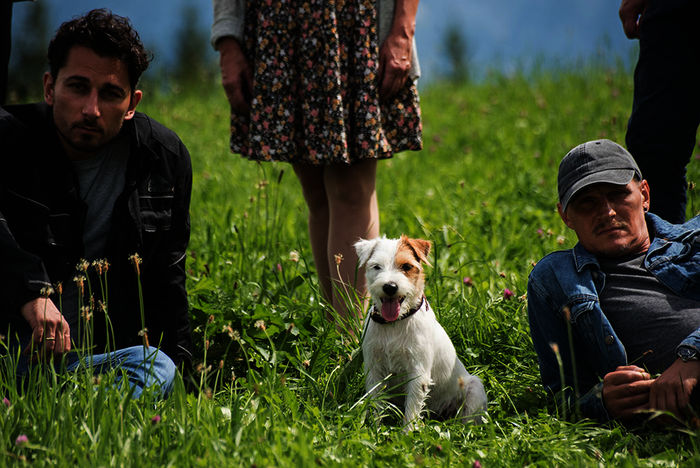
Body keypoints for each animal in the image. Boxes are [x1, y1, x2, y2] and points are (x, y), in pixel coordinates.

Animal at [356, 236, 486, 430]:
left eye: (406, 266)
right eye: (376, 266)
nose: (390, 286)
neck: (395, 323)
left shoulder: (418, 372)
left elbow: (412, 409)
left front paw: (407, 433)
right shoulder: (374, 369)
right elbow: (375, 402)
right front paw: (374, 428)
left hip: (474, 388)